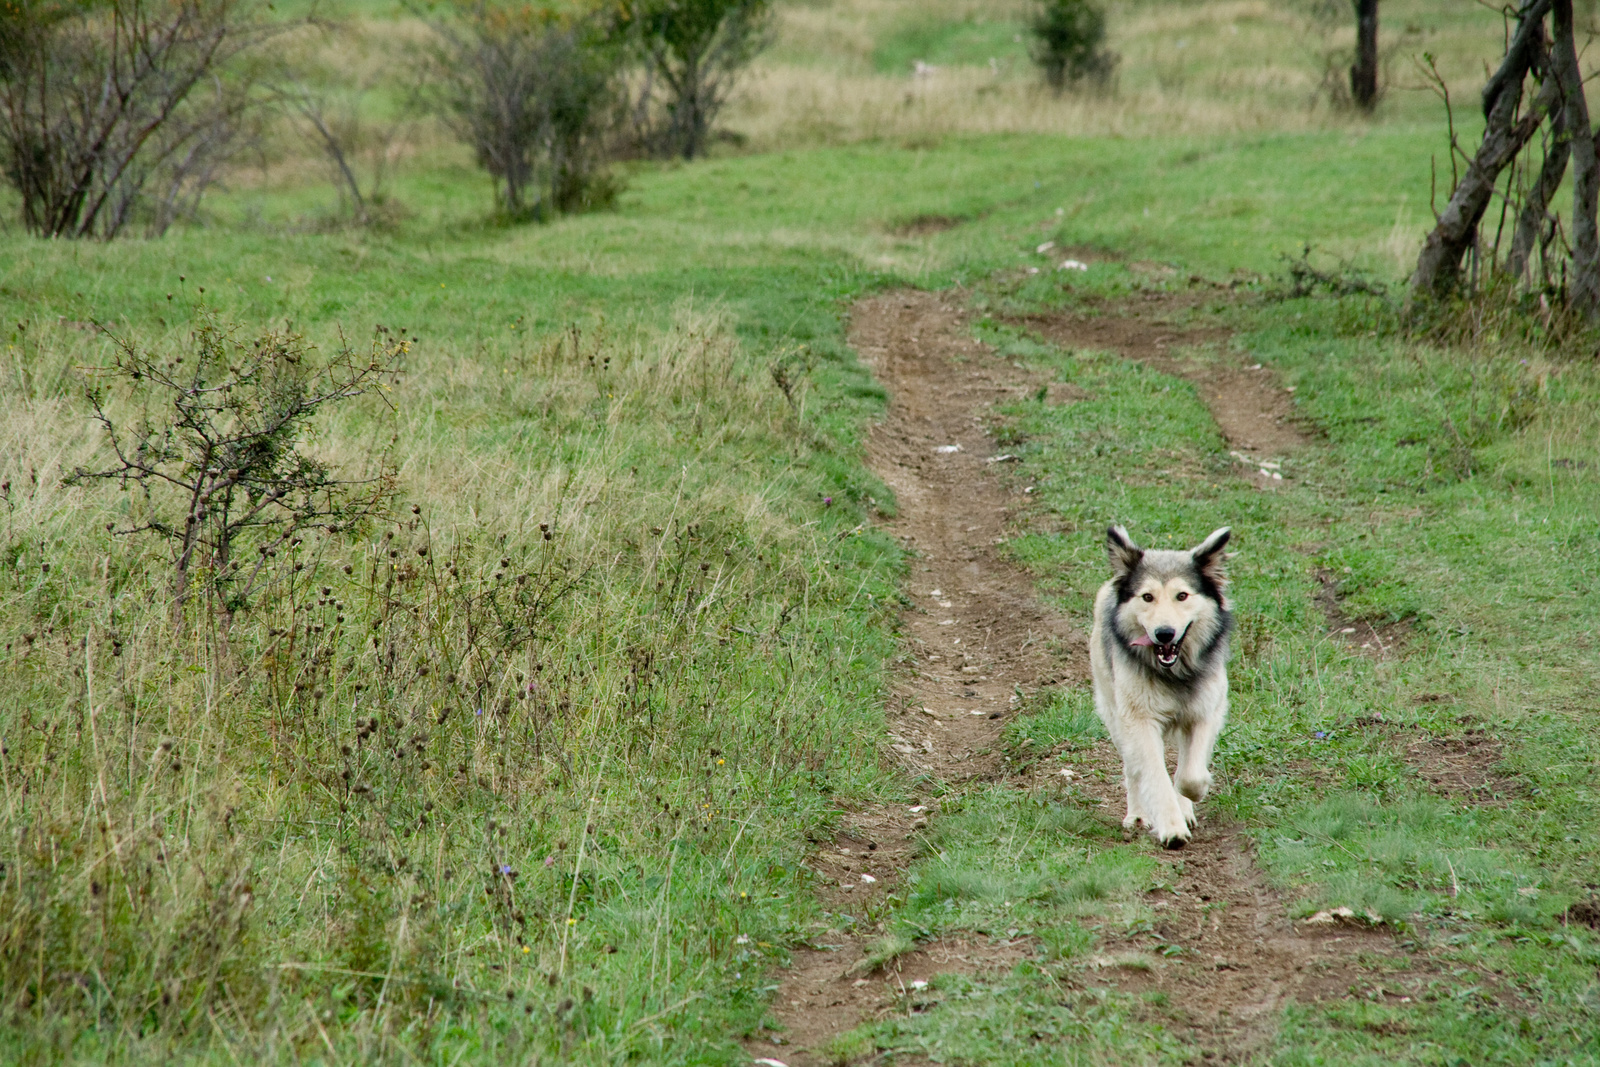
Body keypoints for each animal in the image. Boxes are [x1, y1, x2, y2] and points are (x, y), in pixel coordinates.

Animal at [1088, 524, 1235, 851]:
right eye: (1147, 597)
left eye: (1182, 595)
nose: (1164, 633)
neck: (1174, 674)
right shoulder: (1139, 722)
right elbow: (1156, 777)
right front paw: (1172, 828)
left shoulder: (1206, 711)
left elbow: (1189, 775)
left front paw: (1190, 798)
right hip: (1114, 714)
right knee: (1133, 770)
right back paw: (1138, 815)